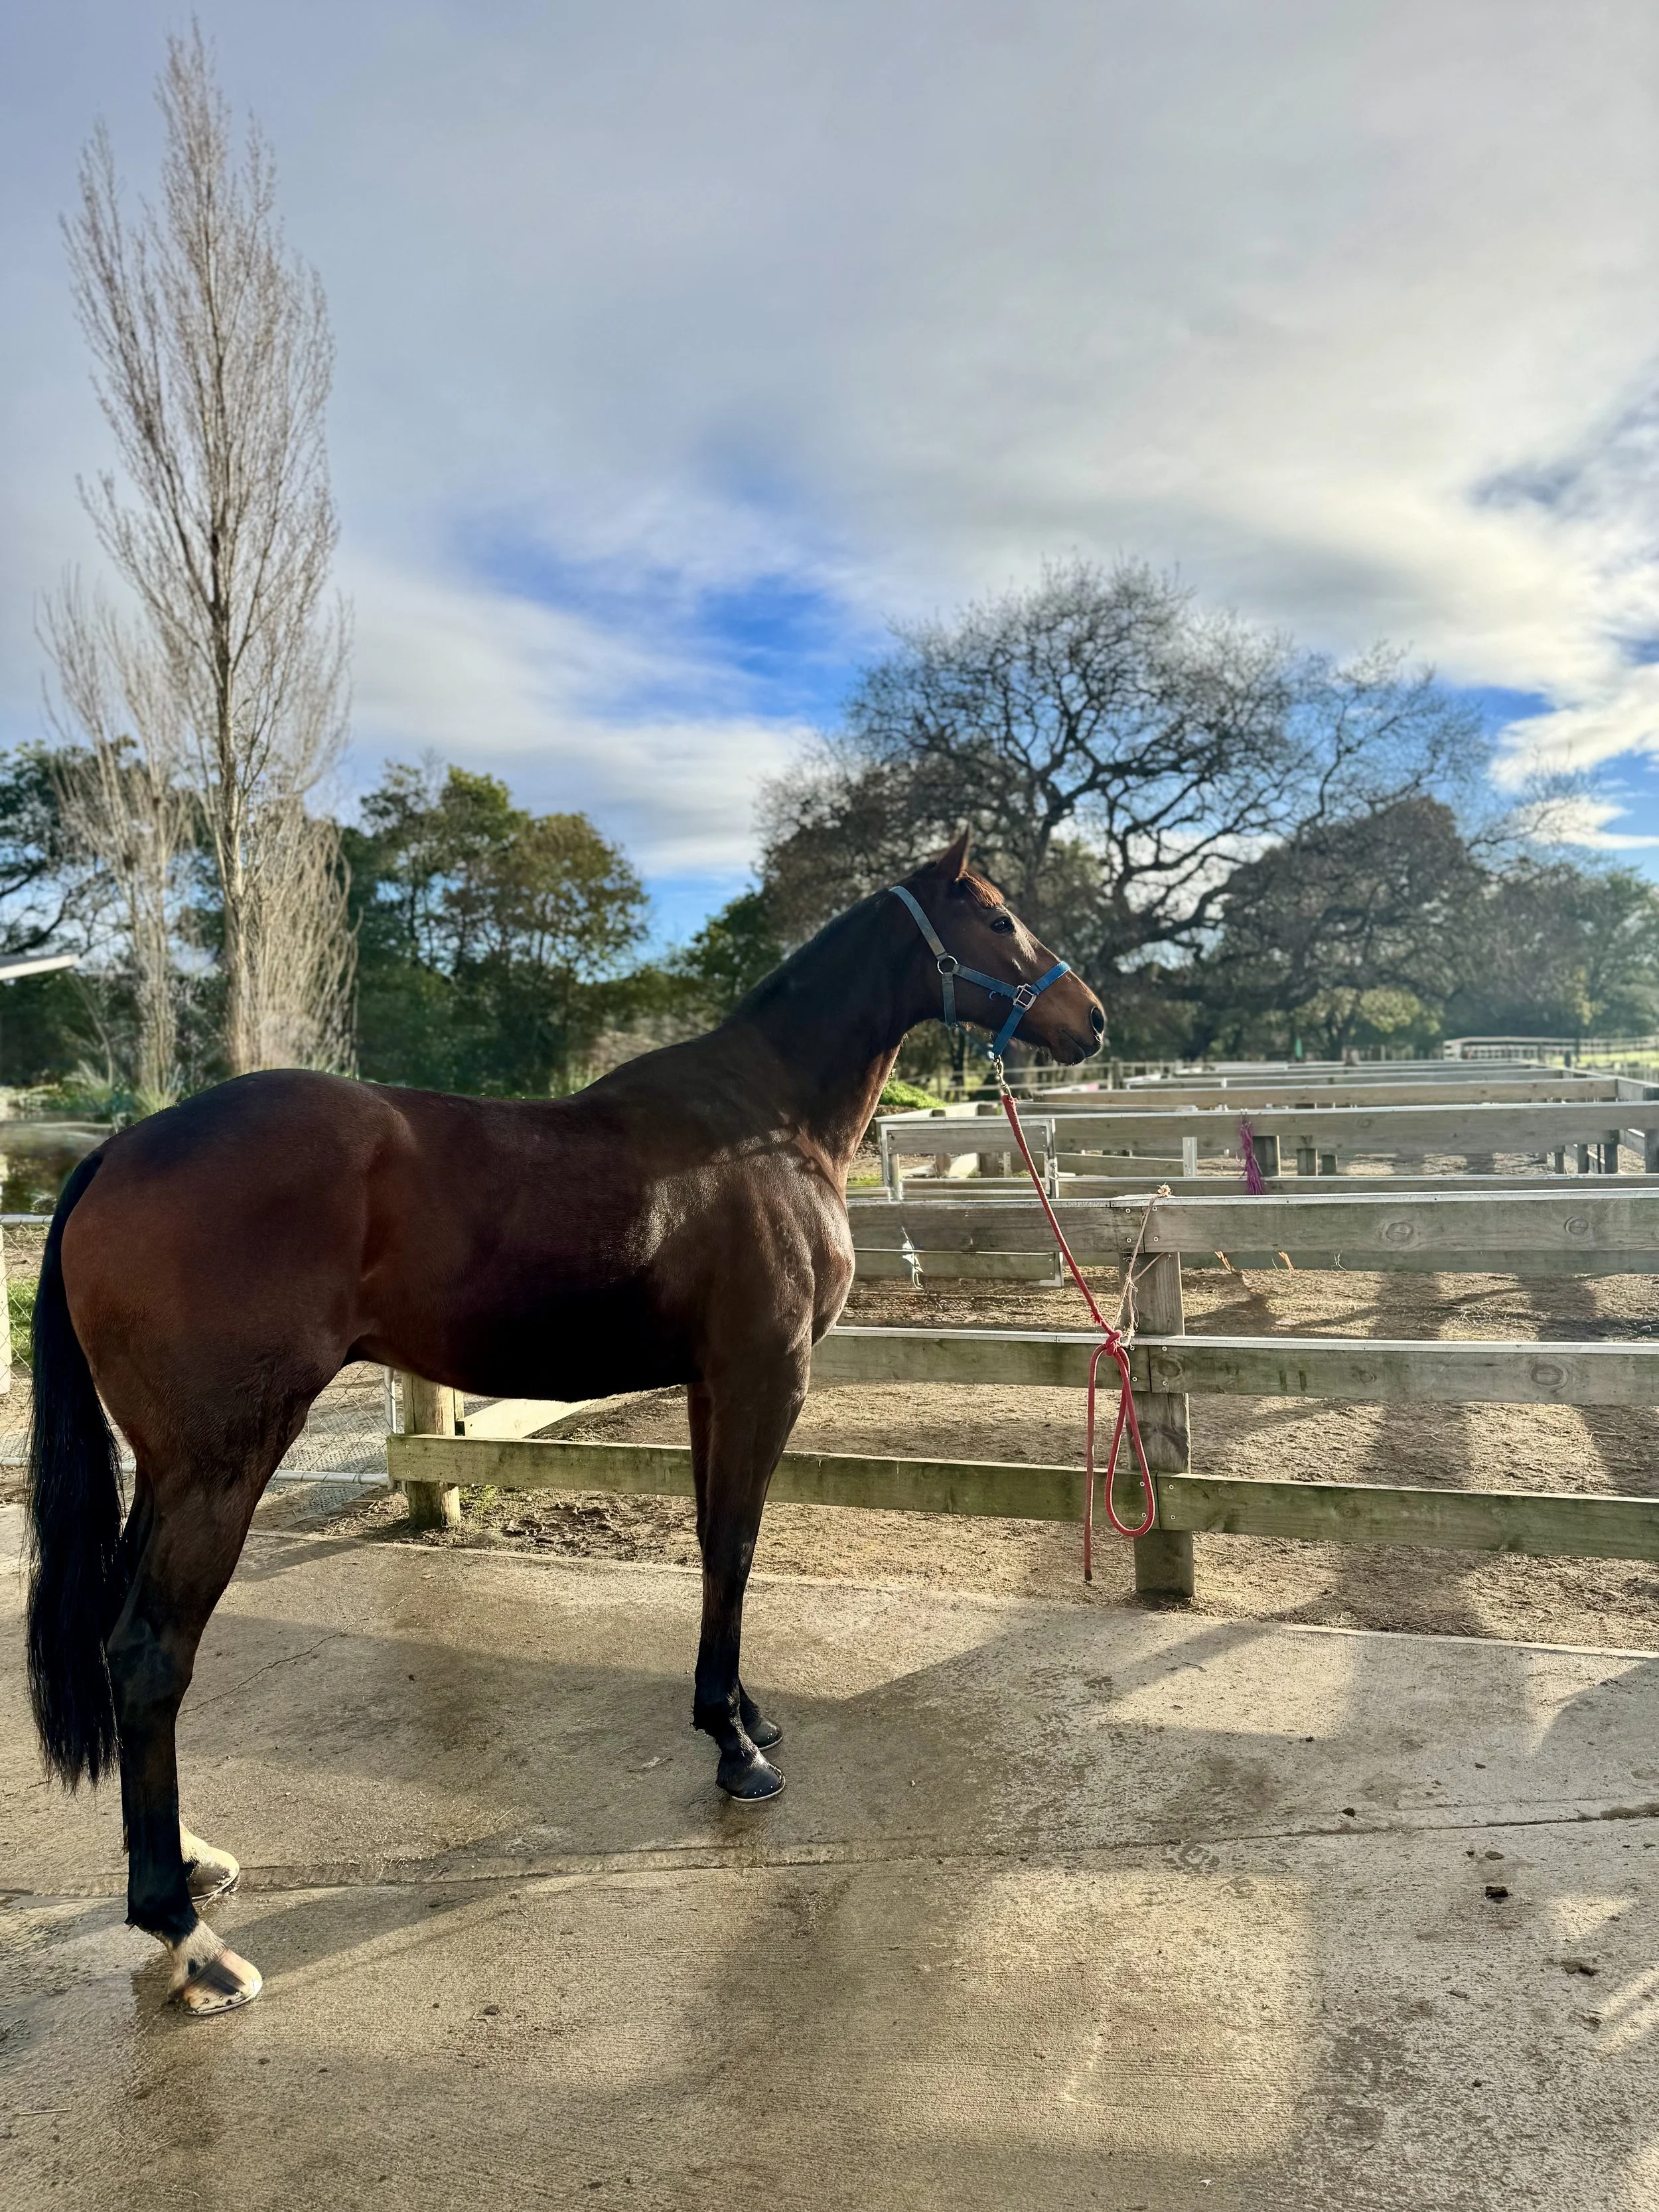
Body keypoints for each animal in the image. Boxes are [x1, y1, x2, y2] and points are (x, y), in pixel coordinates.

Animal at [24, 830, 1105, 2015]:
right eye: (998, 919)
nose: (1094, 1019)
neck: (764, 1127)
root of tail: (119, 1150)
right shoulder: (766, 1377)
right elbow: (736, 1547)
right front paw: (737, 1750)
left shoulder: (712, 1386)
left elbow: (713, 1548)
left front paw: (740, 1712)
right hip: (220, 1465)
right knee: (150, 1654)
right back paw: (185, 1934)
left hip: (170, 1472)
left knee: (126, 1642)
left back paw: (194, 1862)